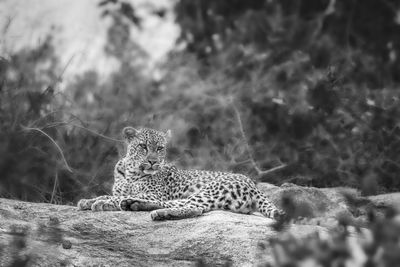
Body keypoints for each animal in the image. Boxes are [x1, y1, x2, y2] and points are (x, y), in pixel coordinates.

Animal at [77, 126, 284, 221]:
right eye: (143, 147)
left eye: (160, 148)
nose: (153, 161)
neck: (131, 172)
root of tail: (254, 185)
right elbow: (111, 194)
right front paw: (89, 200)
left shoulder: (154, 193)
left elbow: (119, 196)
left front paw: (101, 202)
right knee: (186, 204)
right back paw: (136, 206)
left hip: (211, 190)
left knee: (192, 207)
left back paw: (149, 209)